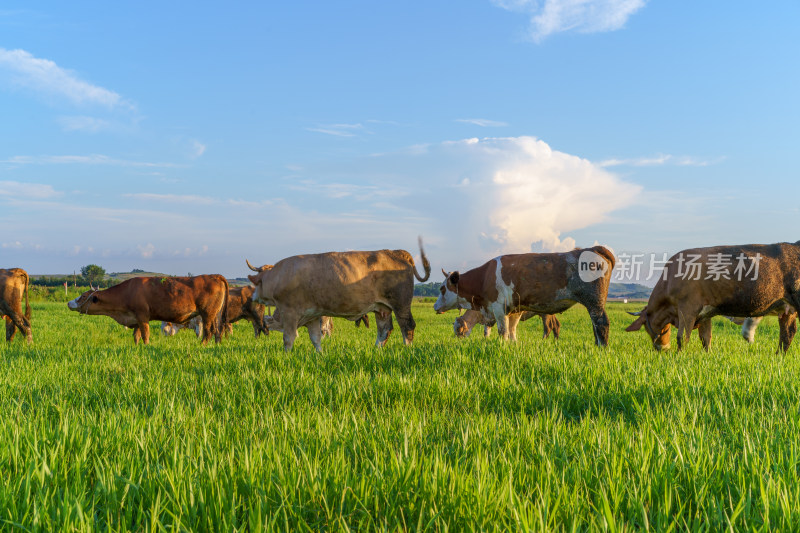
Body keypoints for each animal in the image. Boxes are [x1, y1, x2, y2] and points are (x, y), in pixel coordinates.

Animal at [66, 274, 230, 344]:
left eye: (83, 295)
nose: (69, 303)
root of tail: (214, 275)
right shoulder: (136, 318)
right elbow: (136, 336)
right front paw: (137, 347)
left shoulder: (142, 316)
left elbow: (145, 335)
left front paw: (146, 346)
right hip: (215, 314)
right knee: (218, 330)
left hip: (207, 313)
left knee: (209, 331)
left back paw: (202, 345)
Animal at [247, 237, 432, 350]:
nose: (252, 297)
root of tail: (396, 252)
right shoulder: (311, 315)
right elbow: (316, 337)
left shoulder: (291, 312)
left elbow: (289, 338)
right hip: (382, 308)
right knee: (385, 330)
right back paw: (376, 350)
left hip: (401, 304)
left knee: (407, 326)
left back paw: (407, 349)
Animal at [434, 245, 616, 344]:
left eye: (442, 288)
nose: (435, 306)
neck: (485, 277)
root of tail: (593, 248)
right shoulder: (514, 310)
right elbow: (512, 330)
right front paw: (513, 345)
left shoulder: (499, 308)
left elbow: (503, 331)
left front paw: (502, 345)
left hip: (594, 302)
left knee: (601, 324)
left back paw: (602, 349)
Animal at [624, 242, 800, 352]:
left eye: (647, 329)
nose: (662, 350)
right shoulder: (705, 313)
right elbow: (705, 338)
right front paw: (707, 355)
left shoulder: (687, 309)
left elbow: (682, 337)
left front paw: (679, 356)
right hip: (787, 309)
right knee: (788, 333)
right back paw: (778, 356)